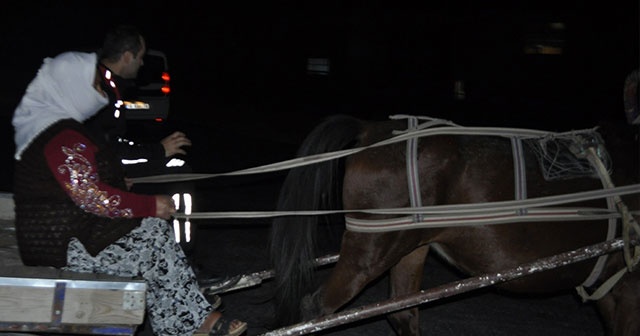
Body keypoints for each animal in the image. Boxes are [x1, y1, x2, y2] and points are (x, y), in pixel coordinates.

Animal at [268, 114, 640, 334]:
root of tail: (371, 128)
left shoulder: (613, 291)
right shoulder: (629, 289)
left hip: (408, 247)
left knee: (402, 312)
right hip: (371, 250)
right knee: (315, 309)